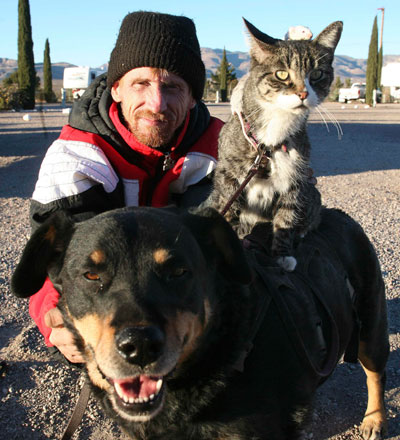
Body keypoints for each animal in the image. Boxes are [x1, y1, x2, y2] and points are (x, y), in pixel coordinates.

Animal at [11, 207, 388, 440]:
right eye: (90, 275)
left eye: (178, 272)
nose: (139, 346)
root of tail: (337, 215)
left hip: (371, 326)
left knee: (375, 373)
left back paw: (375, 419)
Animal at [205, 18, 342, 272]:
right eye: (281, 74)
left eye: (317, 73)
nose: (303, 93)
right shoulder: (229, 176)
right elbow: (228, 210)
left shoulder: (295, 178)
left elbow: (286, 218)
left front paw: (282, 254)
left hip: (312, 192)